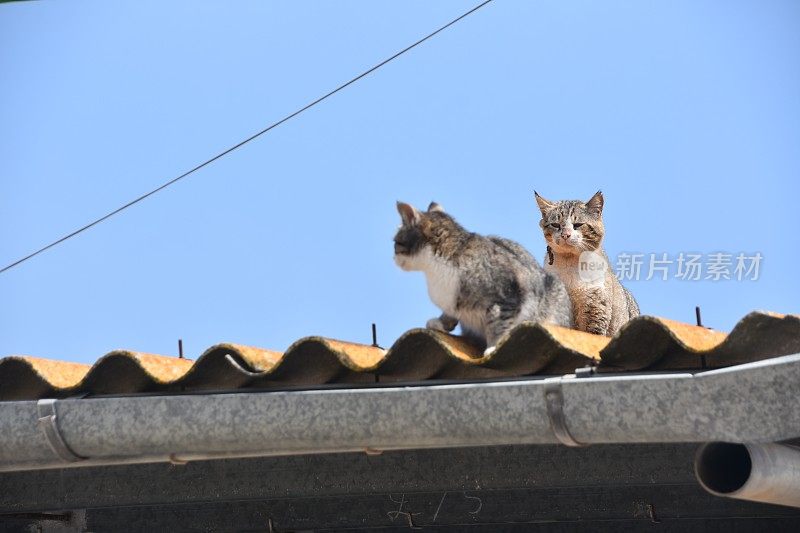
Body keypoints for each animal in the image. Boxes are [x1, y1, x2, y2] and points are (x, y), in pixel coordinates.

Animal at [392, 200, 568, 354]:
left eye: (395, 242)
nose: (393, 258)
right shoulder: (452, 301)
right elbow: (450, 312)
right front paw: (440, 322)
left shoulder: (506, 297)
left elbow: (498, 324)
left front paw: (493, 347)